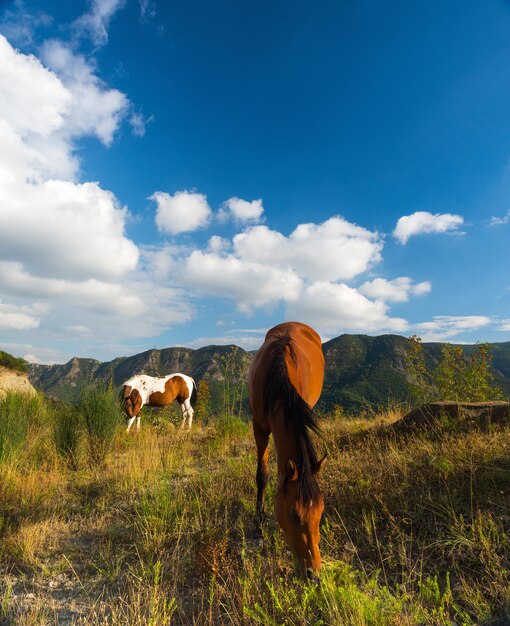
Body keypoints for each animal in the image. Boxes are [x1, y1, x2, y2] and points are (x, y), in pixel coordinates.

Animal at [248, 322, 326, 580]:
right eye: (294, 514)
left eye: (321, 513)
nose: (314, 574)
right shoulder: (259, 426)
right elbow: (262, 475)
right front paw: (258, 522)